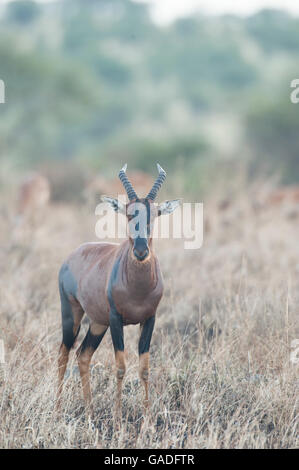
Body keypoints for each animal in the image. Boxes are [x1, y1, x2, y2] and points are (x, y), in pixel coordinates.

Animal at [57, 163, 182, 416]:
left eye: (155, 214)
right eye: (128, 213)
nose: (141, 251)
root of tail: (72, 255)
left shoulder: (149, 319)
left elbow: (144, 368)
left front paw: (147, 420)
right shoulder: (116, 319)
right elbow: (121, 367)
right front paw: (118, 419)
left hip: (98, 323)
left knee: (83, 355)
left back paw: (90, 412)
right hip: (72, 314)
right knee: (63, 354)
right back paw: (56, 410)